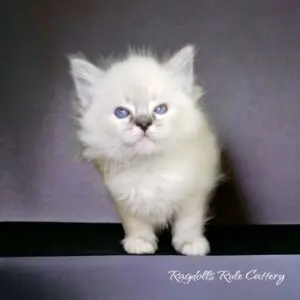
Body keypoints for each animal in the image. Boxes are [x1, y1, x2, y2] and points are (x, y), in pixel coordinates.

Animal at [69, 45, 221, 255]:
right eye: (121, 113)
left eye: (161, 109)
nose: (143, 123)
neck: (149, 166)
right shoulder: (123, 196)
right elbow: (135, 222)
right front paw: (140, 242)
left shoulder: (195, 191)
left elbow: (189, 221)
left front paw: (190, 244)